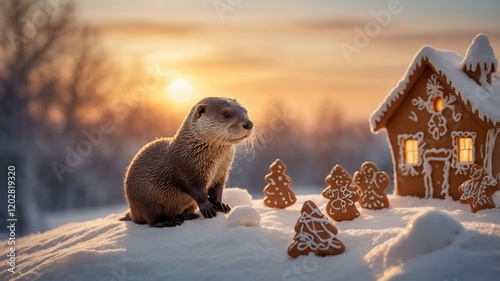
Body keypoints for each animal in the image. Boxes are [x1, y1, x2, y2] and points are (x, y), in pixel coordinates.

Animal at [120, 97, 254, 226]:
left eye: (246, 111)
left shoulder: (221, 172)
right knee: (153, 219)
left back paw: (188, 215)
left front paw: (221, 205)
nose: (248, 123)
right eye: (226, 114)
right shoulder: (187, 171)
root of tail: (133, 212)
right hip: (145, 200)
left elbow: (217, 190)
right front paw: (208, 208)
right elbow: (197, 192)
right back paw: (169, 221)